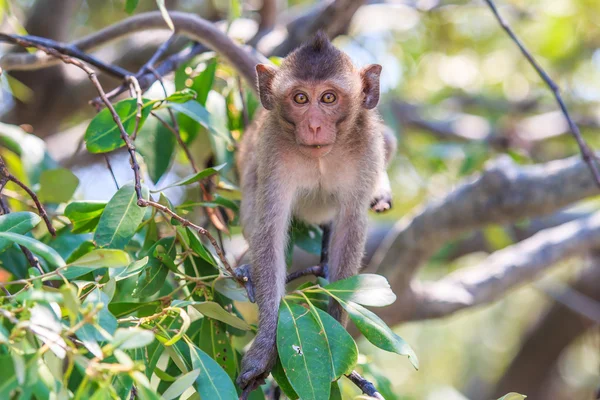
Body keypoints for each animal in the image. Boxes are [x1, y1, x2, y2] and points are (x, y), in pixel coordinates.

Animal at [236, 32, 398, 390]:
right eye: (300, 98)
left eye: (327, 98)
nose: (312, 125)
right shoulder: (273, 151)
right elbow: (269, 232)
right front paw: (264, 349)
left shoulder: (366, 146)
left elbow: (350, 226)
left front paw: (336, 330)